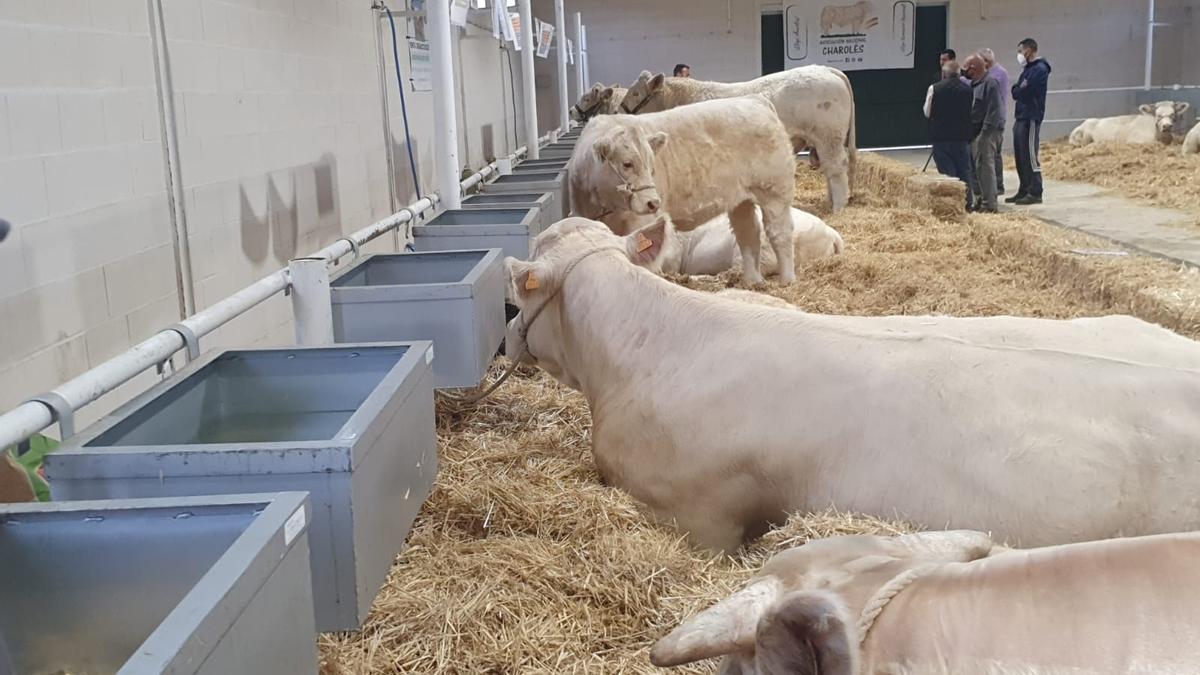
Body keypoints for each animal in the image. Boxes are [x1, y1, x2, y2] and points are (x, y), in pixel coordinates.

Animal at [568, 96, 796, 284]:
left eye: (652, 166)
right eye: (627, 164)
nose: (653, 202)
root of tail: (755, 100)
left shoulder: (642, 221)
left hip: (774, 191)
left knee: (780, 233)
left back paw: (786, 281)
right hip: (741, 200)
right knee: (748, 234)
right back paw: (752, 282)